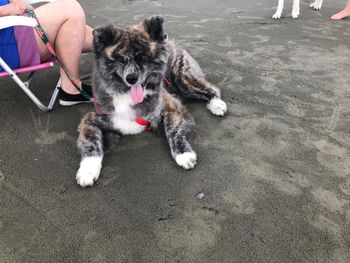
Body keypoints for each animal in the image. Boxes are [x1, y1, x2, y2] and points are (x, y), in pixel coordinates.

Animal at [76, 15, 227, 188]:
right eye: (121, 60)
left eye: (143, 58)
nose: (131, 78)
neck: (127, 94)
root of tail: (169, 41)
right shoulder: (92, 118)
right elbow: (91, 144)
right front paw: (87, 170)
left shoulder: (171, 106)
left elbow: (173, 131)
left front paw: (184, 154)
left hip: (182, 79)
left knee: (211, 88)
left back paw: (217, 104)